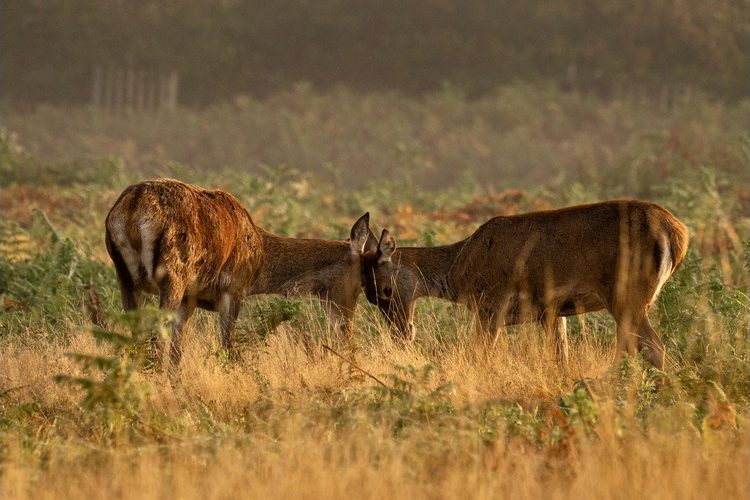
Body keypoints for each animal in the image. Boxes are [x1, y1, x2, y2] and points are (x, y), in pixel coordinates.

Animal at [105, 178, 371, 371]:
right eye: (361, 284)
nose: (347, 330)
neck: (259, 261)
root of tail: (132, 208)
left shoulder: (189, 298)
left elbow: (178, 349)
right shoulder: (232, 289)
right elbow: (227, 346)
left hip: (125, 276)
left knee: (136, 336)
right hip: (172, 275)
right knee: (156, 337)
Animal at [362, 200, 689, 372]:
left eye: (385, 291)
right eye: (370, 297)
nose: (401, 335)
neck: (459, 271)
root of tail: (678, 234)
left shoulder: (490, 304)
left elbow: (479, 356)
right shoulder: (553, 311)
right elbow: (560, 357)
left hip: (626, 293)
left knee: (654, 348)